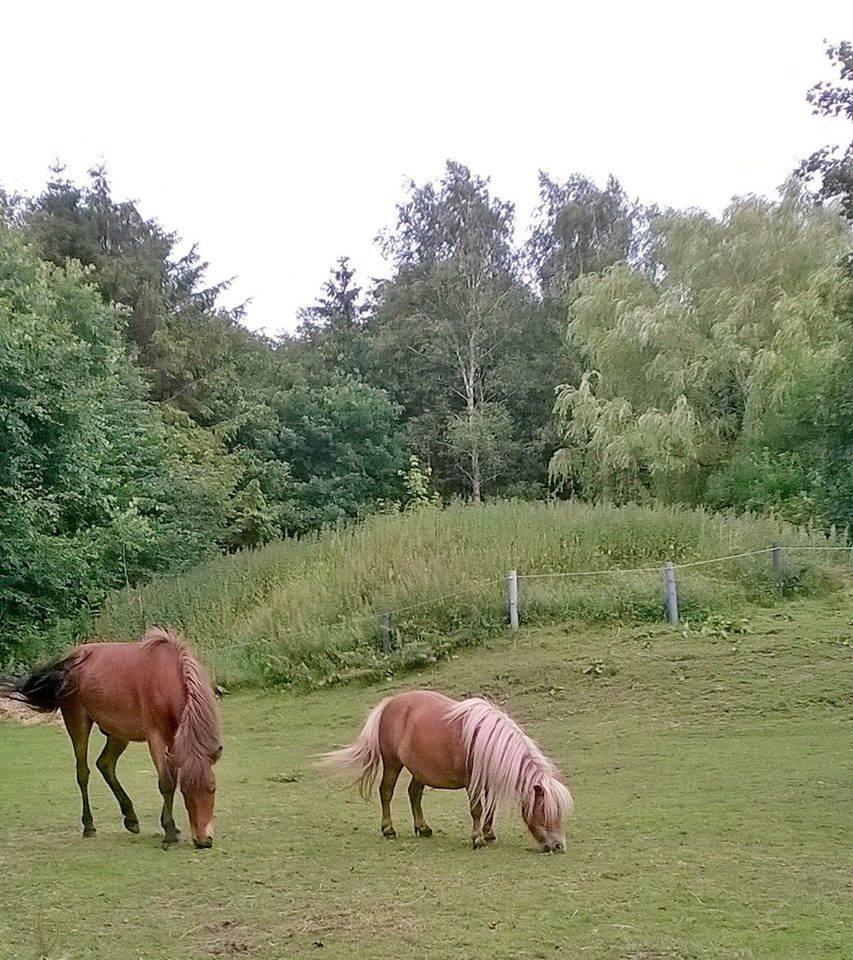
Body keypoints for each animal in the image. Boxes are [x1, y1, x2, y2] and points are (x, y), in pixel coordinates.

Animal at [7, 632, 220, 848]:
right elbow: (166, 783)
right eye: (186, 792)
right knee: (83, 773)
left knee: (105, 764)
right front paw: (169, 833)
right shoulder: (156, 737)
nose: (203, 841)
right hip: (78, 723)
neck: (167, 677)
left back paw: (131, 818)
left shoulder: (174, 741)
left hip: (118, 734)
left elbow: (172, 779)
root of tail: (71, 660)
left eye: (212, 789)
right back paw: (89, 826)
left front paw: (172, 828)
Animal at [320, 688, 572, 852]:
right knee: (386, 792)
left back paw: (423, 828)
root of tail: (390, 703)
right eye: (545, 811)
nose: (558, 845)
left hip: (419, 770)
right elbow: (477, 809)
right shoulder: (473, 782)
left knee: (414, 794)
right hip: (392, 763)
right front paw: (478, 839)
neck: (484, 739)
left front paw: (488, 833)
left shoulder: (488, 779)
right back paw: (388, 830)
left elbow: (490, 808)